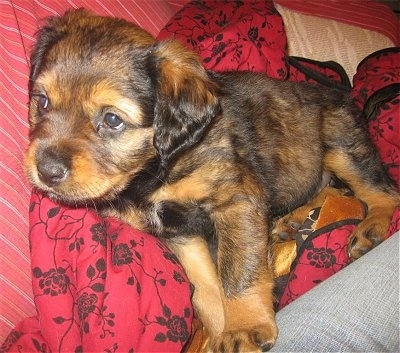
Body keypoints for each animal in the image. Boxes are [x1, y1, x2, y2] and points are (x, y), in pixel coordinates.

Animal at [25, 8, 400, 352]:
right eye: (42, 101)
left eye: (112, 119)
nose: (46, 170)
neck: (153, 172)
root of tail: (346, 98)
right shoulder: (179, 230)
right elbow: (207, 288)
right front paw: (222, 330)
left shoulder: (234, 201)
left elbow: (238, 271)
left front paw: (244, 328)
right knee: (328, 190)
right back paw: (289, 222)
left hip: (340, 144)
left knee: (382, 192)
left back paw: (370, 227)